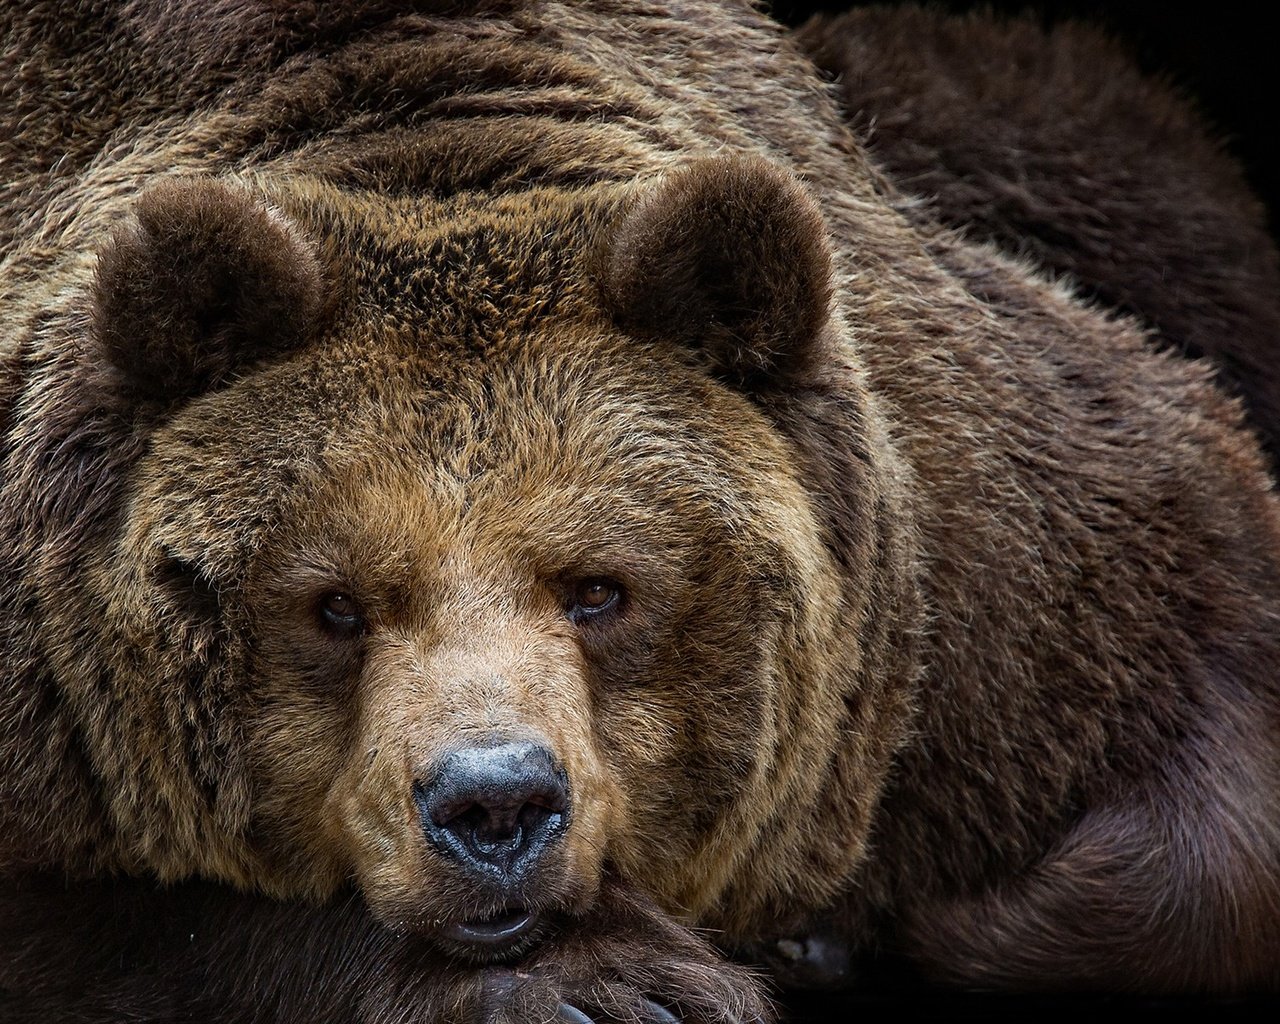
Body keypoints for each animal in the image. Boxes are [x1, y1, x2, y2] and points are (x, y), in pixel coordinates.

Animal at [0, 2, 1274, 1024]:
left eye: (600, 588)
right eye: (333, 605)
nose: (494, 802)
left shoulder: (985, 559)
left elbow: (1200, 603)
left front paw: (884, 926)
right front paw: (617, 982)